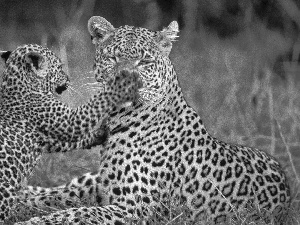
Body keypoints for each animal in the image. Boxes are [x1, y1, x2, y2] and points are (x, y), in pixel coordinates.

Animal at [0, 43, 141, 221]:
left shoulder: (50, 137)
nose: (68, 79)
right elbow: (95, 104)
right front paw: (120, 84)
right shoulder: (67, 120)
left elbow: (70, 142)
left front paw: (100, 133)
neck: (18, 81)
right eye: (60, 68)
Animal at [18, 16, 290, 224]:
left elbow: (77, 214)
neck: (122, 118)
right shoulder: (104, 191)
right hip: (91, 181)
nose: (124, 81)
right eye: (113, 58)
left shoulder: (135, 209)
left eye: (145, 61)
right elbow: (64, 205)